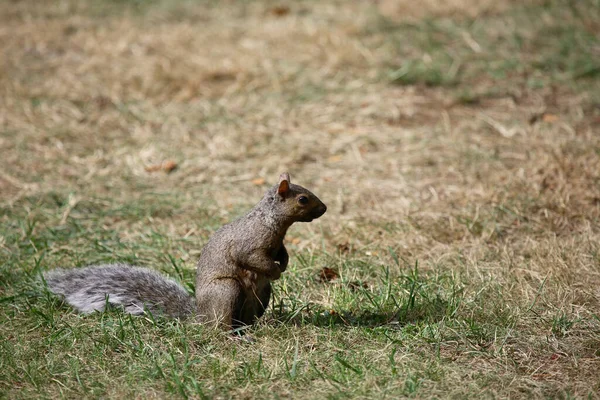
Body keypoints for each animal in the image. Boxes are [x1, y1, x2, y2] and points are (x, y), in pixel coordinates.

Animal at [45, 173, 328, 330]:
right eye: (302, 199)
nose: (324, 208)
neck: (272, 223)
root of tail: (201, 316)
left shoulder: (278, 244)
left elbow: (281, 253)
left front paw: (284, 264)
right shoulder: (248, 244)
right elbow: (252, 258)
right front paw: (276, 271)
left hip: (262, 296)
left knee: (244, 320)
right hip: (227, 290)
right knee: (221, 326)